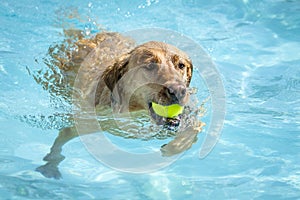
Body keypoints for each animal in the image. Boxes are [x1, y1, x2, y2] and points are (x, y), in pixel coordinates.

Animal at [35, 29, 204, 178]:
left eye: (181, 65)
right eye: (150, 65)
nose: (179, 91)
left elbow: (193, 129)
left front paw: (175, 147)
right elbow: (62, 138)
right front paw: (51, 164)